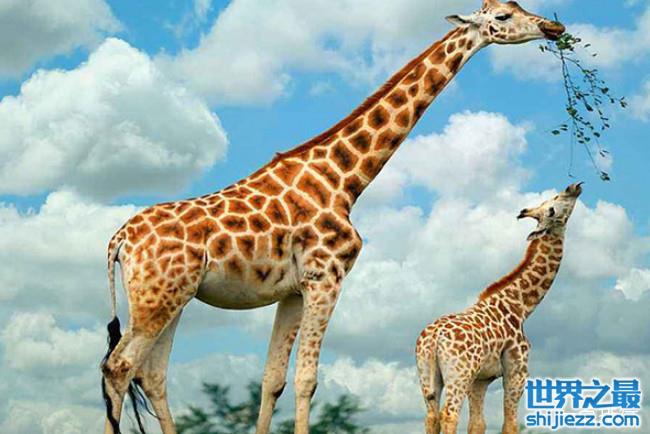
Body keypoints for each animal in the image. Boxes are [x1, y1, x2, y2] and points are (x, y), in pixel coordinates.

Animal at [99, 1, 566, 433]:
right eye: (503, 16)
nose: (553, 26)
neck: (346, 180)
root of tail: (118, 241)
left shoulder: (292, 290)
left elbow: (272, 380)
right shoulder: (326, 277)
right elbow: (307, 379)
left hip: (173, 297)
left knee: (152, 374)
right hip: (157, 298)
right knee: (118, 367)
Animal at [415, 183, 583, 434]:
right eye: (552, 207)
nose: (573, 187)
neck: (521, 307)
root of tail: (434, 338)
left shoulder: (480, 379)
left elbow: (477, 424)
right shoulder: (516, 371)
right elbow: (510, 423)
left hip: (427, 374)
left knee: (431, 417)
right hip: (458, 374)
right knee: (449, 414)